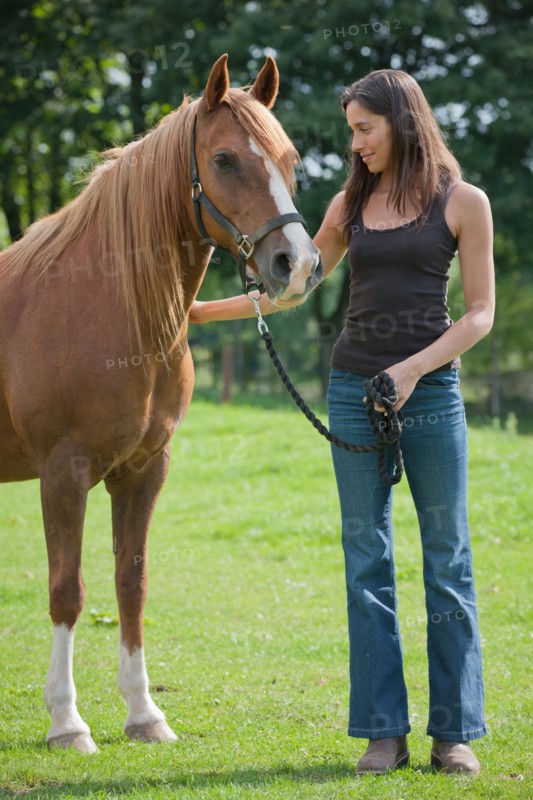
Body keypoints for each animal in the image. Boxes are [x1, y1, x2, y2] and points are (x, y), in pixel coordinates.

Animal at [0, 53, 321, 753]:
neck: (109, 308)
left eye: (291, 159)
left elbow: (132, 582)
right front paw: (67, 722)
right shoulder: (62, 474)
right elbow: (67, 589)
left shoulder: (144, 470)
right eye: (224, 159)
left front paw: (144, 713)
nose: (297, 264)